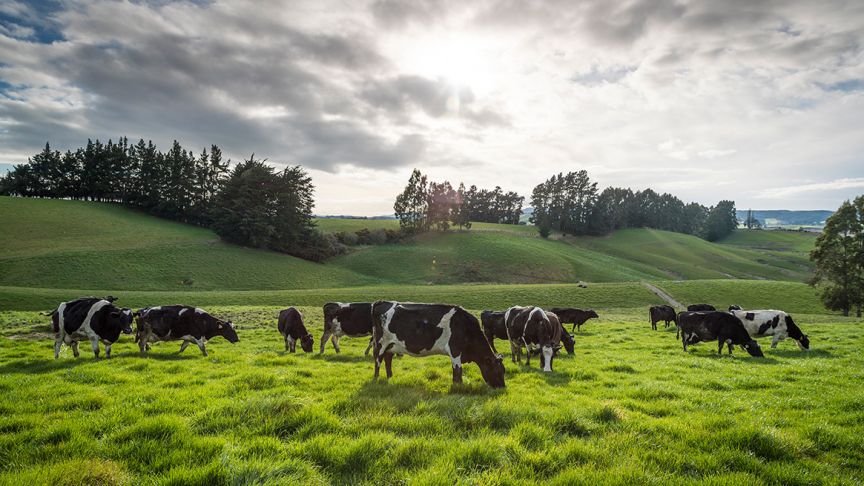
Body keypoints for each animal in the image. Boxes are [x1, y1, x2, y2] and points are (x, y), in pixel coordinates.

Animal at [372, 300, 506, 388]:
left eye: (504, 371)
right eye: (497, 371)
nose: (502, 387)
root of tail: (382, 302)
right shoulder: (455, 350)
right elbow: (458, 371)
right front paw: (459, 387)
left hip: (391, 345)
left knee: (388, 359)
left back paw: (390, 377)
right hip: (380, 343)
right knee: (378, 360)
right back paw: (376, 378)